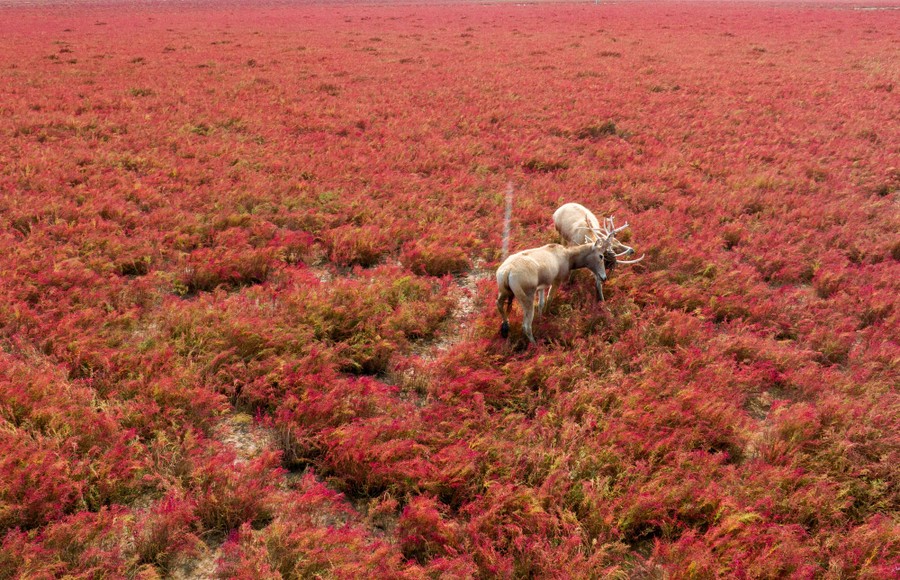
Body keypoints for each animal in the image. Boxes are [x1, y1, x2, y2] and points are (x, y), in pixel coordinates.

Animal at [496, 226, 628, 345]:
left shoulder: (541, 286)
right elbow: (549, 299)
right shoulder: (557, 279)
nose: (604, 277)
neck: (569, 259)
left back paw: (505, 327)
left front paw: (540, 319)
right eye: (601, 256)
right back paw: (534, 343)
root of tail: (507, 272)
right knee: (526, 325)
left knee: (499, 304)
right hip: (527, 294)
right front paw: (546, 316)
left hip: (504, 291)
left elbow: (541, 303)